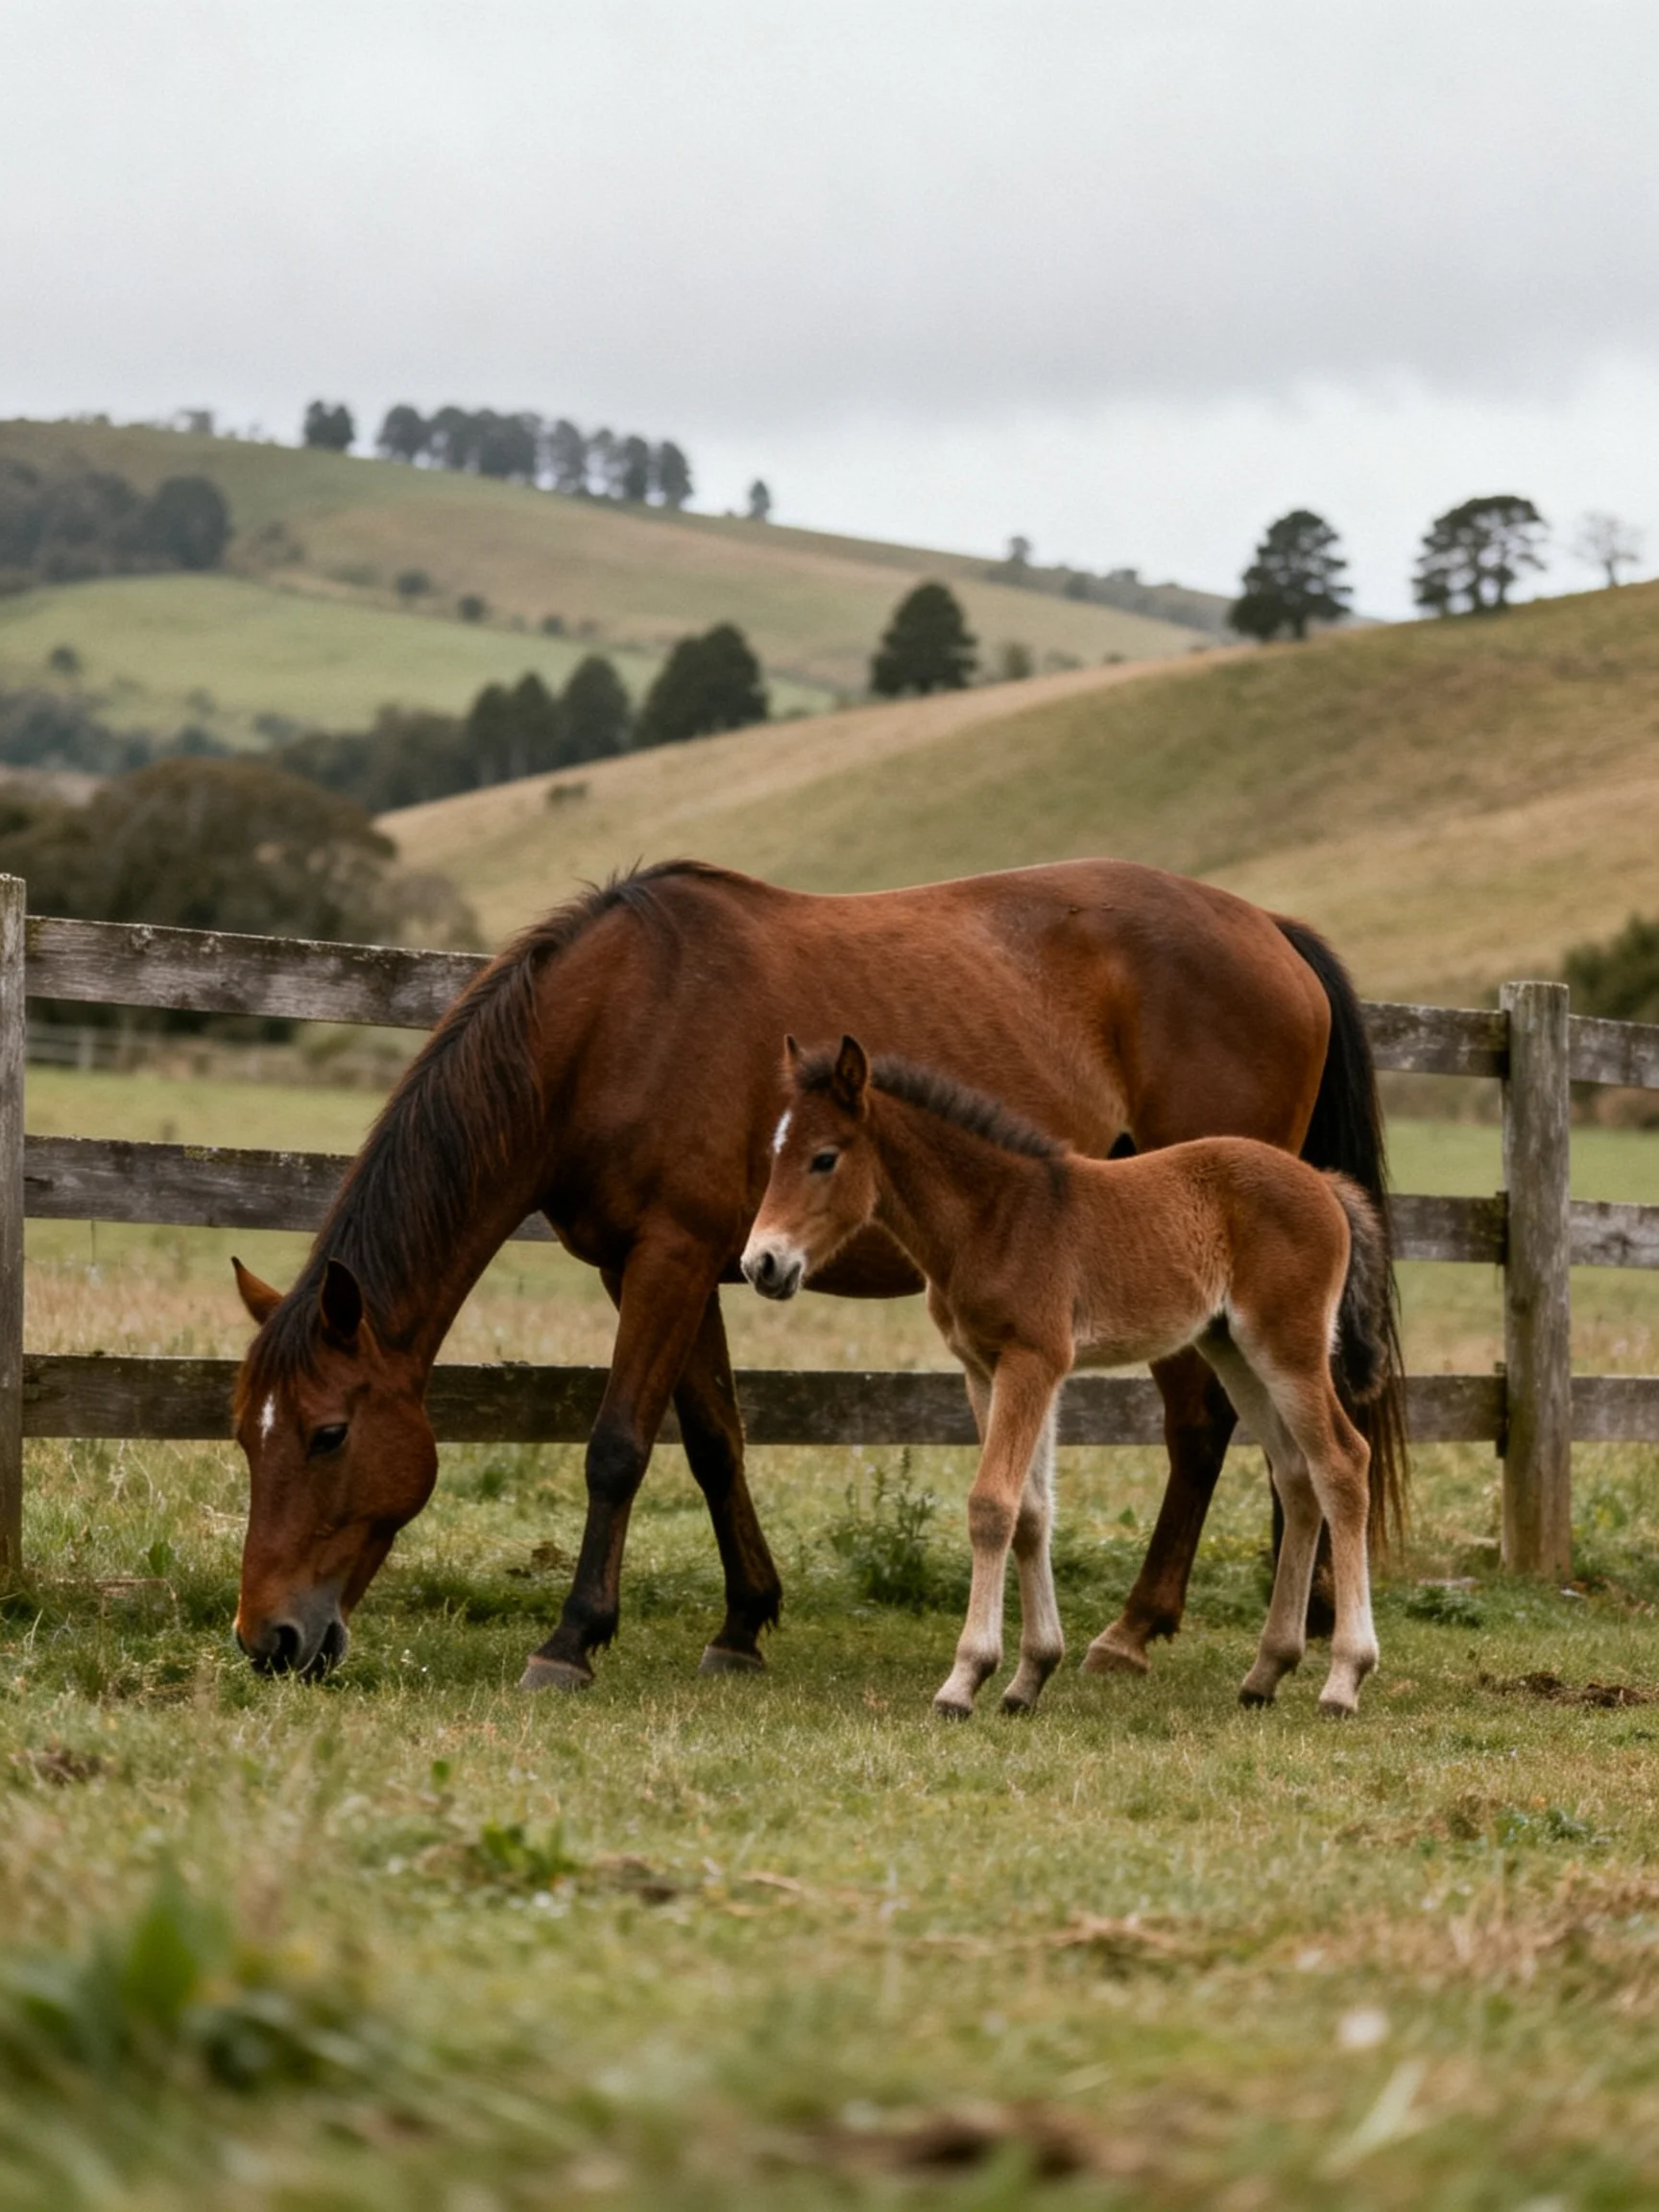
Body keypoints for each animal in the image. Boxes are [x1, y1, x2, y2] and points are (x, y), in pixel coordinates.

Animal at [743, 1036, 1389, 1718]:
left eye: (824, 1158)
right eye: (775, 1154)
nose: (762, 1263)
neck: (993, 1218)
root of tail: (1323, 1184)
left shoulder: (1033, 1360)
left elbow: (991, 1505)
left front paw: (964, 1680)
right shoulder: (986, 1369)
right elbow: (1031, 1510)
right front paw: (1030, 1675)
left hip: (1288, 1348)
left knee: (1342, 1462)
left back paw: (1344, 1678)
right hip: (1232, 1349)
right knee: (1295, 1475)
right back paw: (1267, 1670)